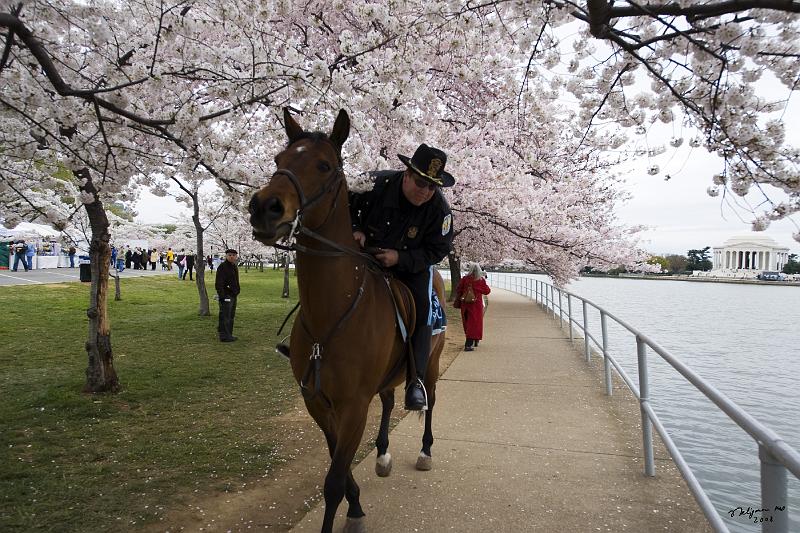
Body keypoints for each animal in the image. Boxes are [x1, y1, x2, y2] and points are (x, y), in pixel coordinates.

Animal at [250, 109, 446, 532]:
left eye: (324, 165)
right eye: (278, 159)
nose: (264, 207)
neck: (331, 315)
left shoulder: (354, 405)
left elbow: (333, 482)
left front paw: (350, 510)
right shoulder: (317, 402)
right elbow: (336, 464)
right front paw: (356, 504)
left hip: (432, 363)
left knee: (430, 400)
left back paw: (424, 451)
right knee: (388, 401)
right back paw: (383, 454)